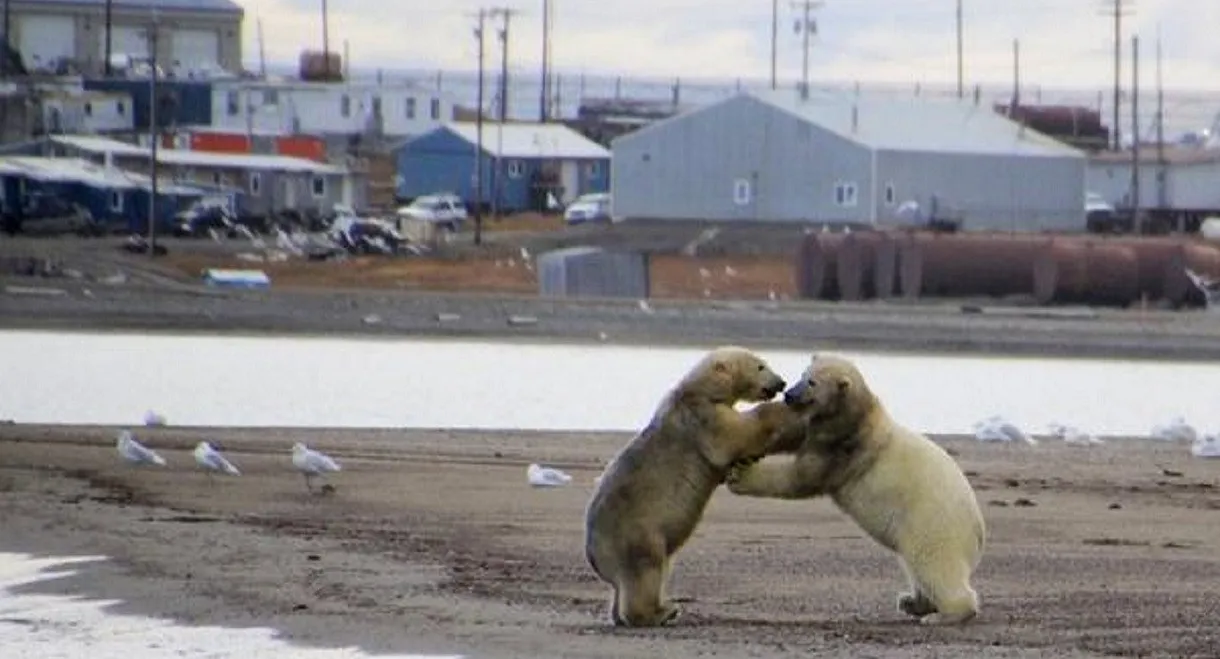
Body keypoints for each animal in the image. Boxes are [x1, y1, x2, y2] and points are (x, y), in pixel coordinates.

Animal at [584, 345, 799, 627]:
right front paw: (778, 411)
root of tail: (595, 554)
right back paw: (662, 612)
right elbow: (734, 435)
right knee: (646, 569)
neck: (700, 389)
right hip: (636, 533)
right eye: (761, 366)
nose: (781, 383)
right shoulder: (702, 416)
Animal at [726, 353, 986, 626]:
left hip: (932, 525)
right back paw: (913, 602)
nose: (789, 395)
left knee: (933, 564)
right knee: (916, 566)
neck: (861, 415)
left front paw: (741, 475)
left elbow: (800, 477)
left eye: (812, 382)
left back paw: (944, 614)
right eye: (803, 374)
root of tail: (978, 532)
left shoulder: (843, 449)